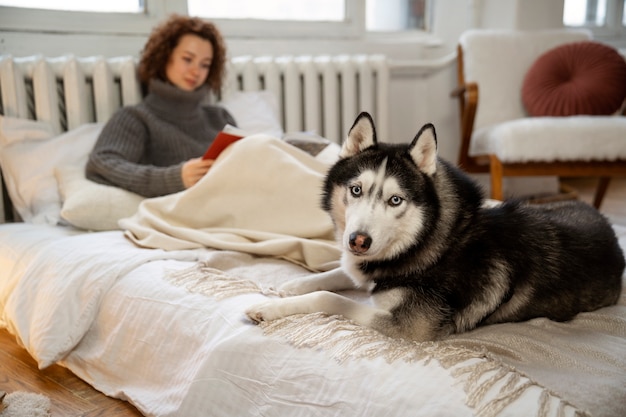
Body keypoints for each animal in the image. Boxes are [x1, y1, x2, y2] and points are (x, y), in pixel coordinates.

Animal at [245, 111, 624, 342]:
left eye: (395, 200)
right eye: (356, 190)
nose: (358, 241)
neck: (434, 242)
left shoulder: (409, 326)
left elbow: (331, 297)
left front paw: (269, 308)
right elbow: (339, 274)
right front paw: (293, 284)